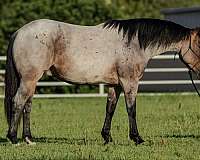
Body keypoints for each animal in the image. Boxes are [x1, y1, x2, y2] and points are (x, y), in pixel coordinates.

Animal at [4, 18, 200, 145]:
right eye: (199, 45)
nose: (199, 72)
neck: (134, 42)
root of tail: (18, 33)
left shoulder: (115, 85)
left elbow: (110, 109)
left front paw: (107, 138)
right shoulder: (129, 82)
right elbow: (132, 109)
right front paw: (137, 138)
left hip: (31, 81)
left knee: (27, 105)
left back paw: (29, 139)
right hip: (29, 79)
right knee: (18, 102)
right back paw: (13, 138)